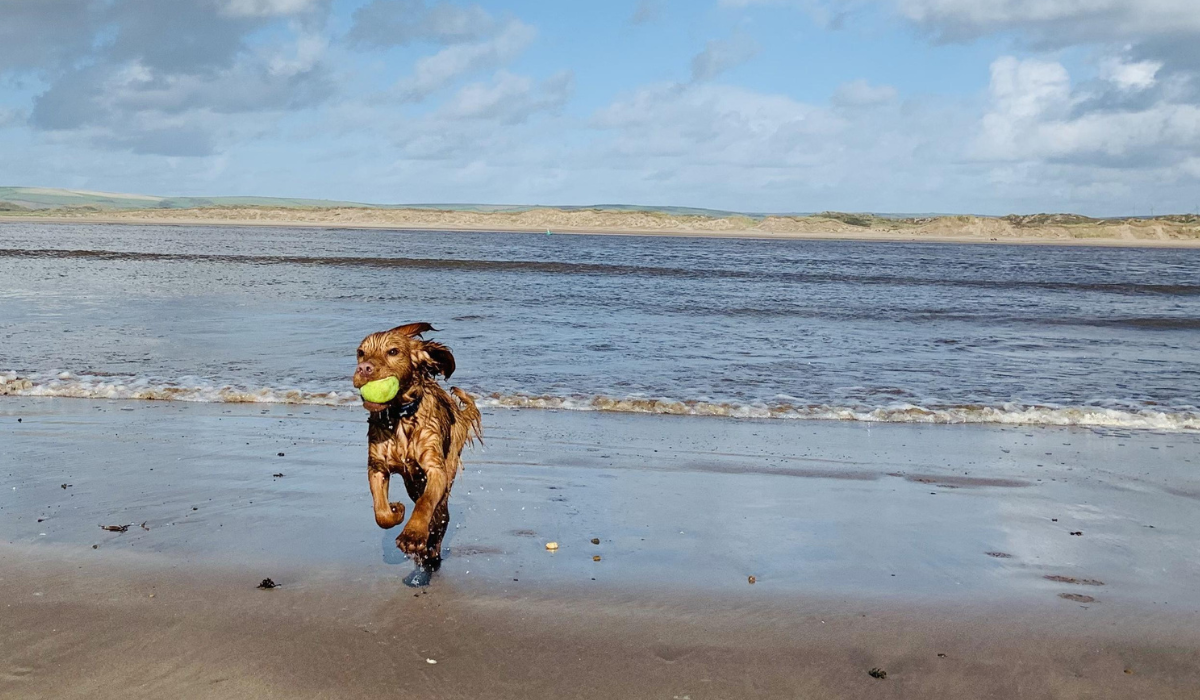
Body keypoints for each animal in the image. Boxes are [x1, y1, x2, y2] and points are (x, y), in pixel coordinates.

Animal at [350, 324, 480, 569]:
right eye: (361, 353)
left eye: (393, 351)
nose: (363, 368)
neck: (399, 417)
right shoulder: (377, 466)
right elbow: (380, 513)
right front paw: (396, 511)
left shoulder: (434, 468)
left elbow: (425, 502)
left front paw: (413, 535)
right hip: (412, 482)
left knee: (440, 514)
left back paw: (431, 548)